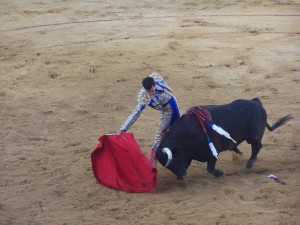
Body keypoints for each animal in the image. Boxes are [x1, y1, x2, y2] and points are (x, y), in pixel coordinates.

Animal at [156, 97, 292, 180]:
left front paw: (219, 173)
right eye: (167, 165)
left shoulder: (212, 153)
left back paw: (249, 164)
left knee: (257, 146)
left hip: (253, 137)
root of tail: (256, 103)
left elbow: (210, 168)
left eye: (174, 160)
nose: (181, 176)